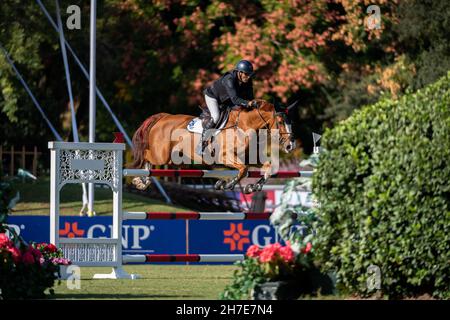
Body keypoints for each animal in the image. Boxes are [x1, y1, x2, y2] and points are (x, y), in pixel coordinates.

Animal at [128, 99, 298, 192]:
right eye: (280, 122)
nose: (290, 145)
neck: (245, 127)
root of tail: (163, 117)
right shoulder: (225, 157)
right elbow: (243, 170)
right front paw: (225, 185)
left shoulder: (250, 158)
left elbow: (268, 167)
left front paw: (253, 187)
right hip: (161, 155)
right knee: (145, 156)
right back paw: (139, 180)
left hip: (171, 157)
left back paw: (143, 182)